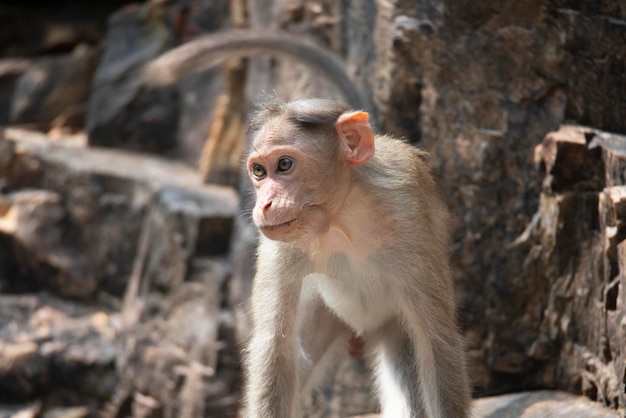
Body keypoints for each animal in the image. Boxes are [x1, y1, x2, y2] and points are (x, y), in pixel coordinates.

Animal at [244, 96, 468, 416]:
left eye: (284, 164)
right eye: (259, 171)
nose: (265, 204)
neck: (340, 217)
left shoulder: (408, 216)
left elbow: (435, 342)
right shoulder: (281, 243)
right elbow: (275, 349)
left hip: (391, 324)